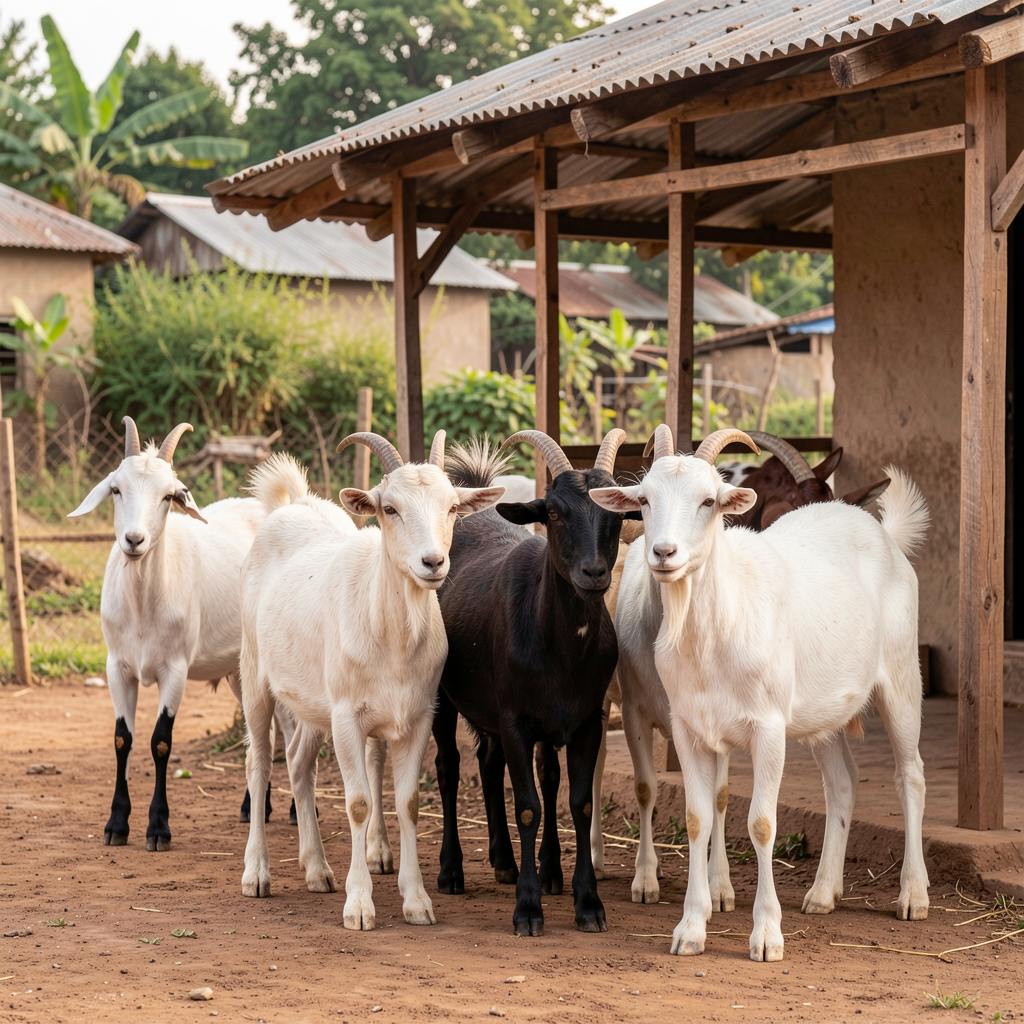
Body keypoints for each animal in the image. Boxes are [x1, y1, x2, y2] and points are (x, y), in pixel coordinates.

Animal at [68, 418, 281, 848]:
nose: (134, 540)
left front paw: (158, 828)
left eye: (169, 495)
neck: (142, 608)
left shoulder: (175, 669)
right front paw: (116, 825)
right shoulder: (117, 666)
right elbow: (123, 739)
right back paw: (254, 808)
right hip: (240, 671)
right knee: (261, 731)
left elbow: (161, 742)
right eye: (116, 489)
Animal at [238, 433, 502, 929]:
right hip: (255, 675)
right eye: (390, 508)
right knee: (259, 764)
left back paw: (317, 869)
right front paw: (359, 905)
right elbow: (358, 802)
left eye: (453, 507)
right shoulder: (347, 716)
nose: (433, 562)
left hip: (313, 700)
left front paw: (416, 901)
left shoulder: (417, 717)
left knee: (299, 762)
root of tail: (292, 504)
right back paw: (257, 875)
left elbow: (409, 802)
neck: (390, 635)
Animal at [433, 429, 632, 936]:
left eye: (616, 514)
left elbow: (577, 802)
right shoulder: (517, 719)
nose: (593, 573)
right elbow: (528, 805)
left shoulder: (586, 720)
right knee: (447, 768)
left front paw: (587, 903)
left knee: (490, 762)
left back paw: (506, 862)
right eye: (555, 513)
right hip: (442, 697)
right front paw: (527, 909)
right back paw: (452, 872)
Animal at [591, 425, 930, 962]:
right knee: (843, 781)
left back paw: (913, 895)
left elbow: (762, 823)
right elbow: (697, 818)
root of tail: (884, 534)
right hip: (823, 709)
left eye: (709, 500)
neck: (722, 621)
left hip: (900, 677)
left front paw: (767, 935)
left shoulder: (768, 727)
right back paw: (822, 893)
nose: (663, 553)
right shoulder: (689, 728)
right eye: (643, 499)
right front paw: (690, 929)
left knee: (910, 775)